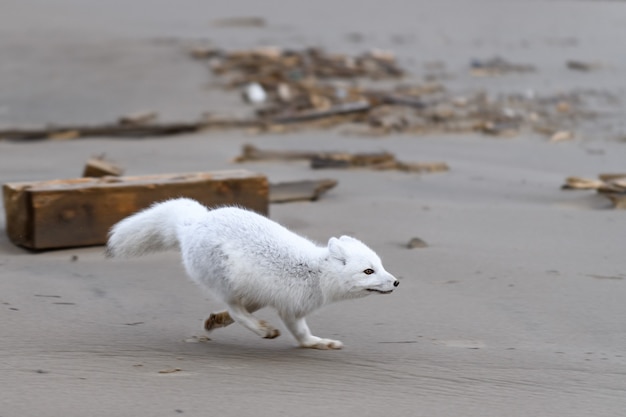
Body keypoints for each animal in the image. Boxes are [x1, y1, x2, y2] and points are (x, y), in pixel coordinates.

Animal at [107, 198, 398, 348]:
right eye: (368, 271)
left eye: (380, 265)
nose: (396, 282)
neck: (316, 273)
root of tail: (194, 223)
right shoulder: (291, 309)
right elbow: (301, 335)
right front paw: (317, 343)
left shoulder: (278, 302)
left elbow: (303, 337)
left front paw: (319, 343)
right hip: (227, 281)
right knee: (236, 310)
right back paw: (261, 330)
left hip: (250, 290)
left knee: (237, 311)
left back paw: (218, 322)